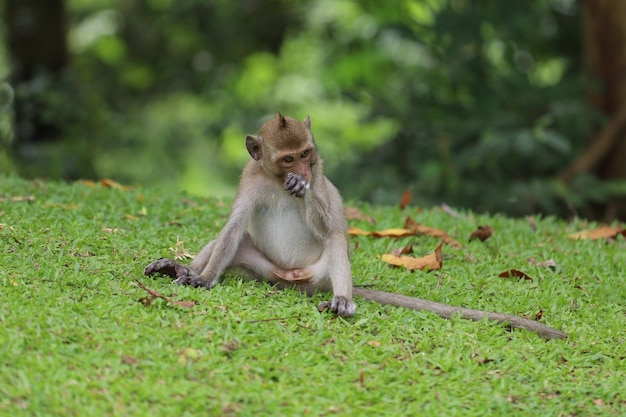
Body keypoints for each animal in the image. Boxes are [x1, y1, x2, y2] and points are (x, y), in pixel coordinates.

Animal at [145, 113, 564, 338]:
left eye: (306, 155)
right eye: (287, 159)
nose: (300, 173)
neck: (278, 182)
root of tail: (291, 280)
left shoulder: (321, 176)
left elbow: (331, 225)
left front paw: (305, 191)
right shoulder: (250, 179)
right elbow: (232, 228)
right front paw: (201, 278)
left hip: (318, 275)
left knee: (335, 241)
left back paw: (343, 302)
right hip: (261, 268)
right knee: (234, 240)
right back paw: (180, 269)